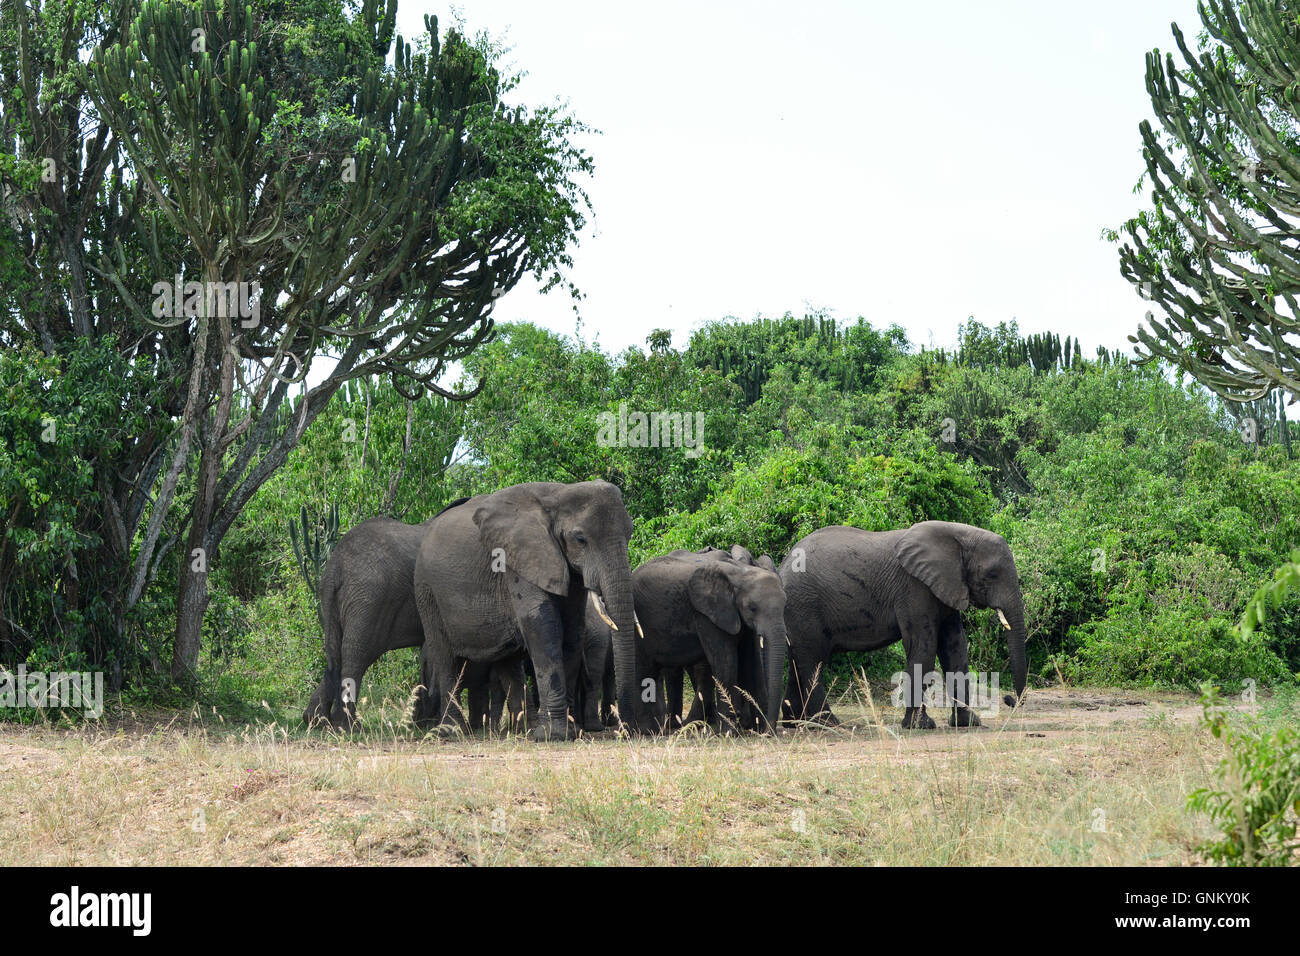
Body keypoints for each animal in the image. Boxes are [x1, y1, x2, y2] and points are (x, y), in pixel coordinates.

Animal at [413, 481, 637, 743]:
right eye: (580, 539)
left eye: (630, 533)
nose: (626, 731)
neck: (558, 495)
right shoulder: (518, 560)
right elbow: (543, 628)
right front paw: (554, 735)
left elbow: (572, 631)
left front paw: (571, 732)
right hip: (426, 591)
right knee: (445, 656)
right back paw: (453, 732)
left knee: (507, 660)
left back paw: (525, 730)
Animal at [626, 546, 780, 733]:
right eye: (752, 608)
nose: (769, 732)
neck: (740, 573)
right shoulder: (706, 614)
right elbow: (725, 661)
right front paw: (728, 732)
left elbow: (749, 661)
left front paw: (757, 729)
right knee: (644, 670)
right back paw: (649, 730)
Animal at [774, 520, 1029, 728]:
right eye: (992, 574)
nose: (1009, 699)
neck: (960, 535)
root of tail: (782, 565)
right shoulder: (914, 588)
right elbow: (923, 647)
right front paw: (920, 726)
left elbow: (954, 648)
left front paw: (968, 723)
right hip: (804, 606)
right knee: (812, 661)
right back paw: (827, 723)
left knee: (801, 660)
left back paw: (796, 723)